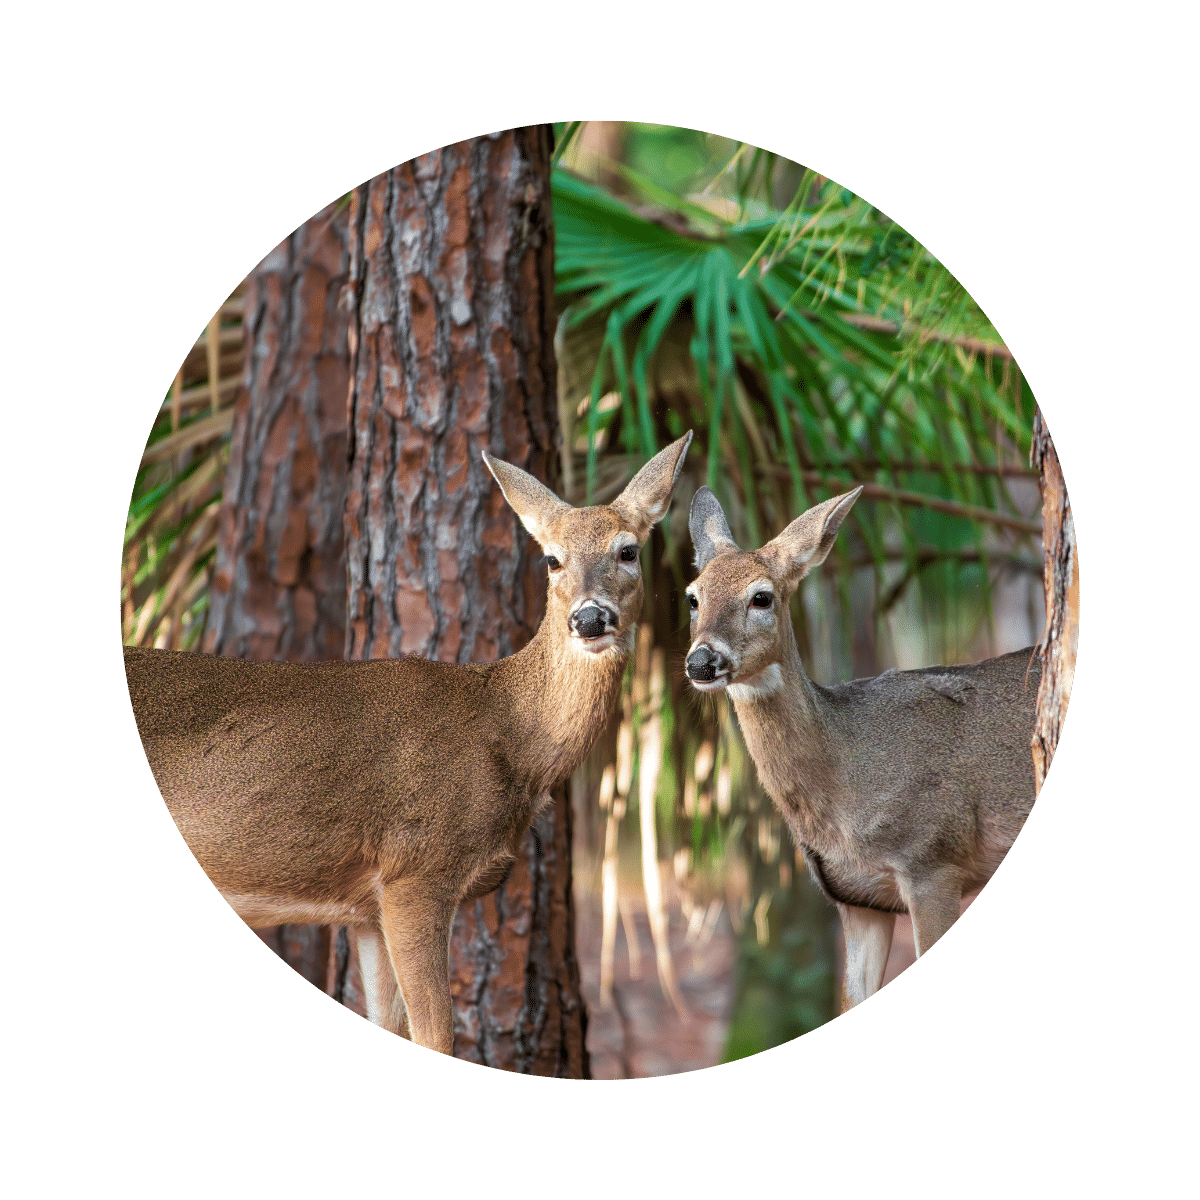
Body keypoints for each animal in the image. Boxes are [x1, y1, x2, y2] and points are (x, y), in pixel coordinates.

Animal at [124, 431, 692, 1056]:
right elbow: (437, 1034)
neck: (506, 734)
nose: (590, 618)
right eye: (552, 558)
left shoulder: (366, 910)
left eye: (628, 551)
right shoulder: (415, 871)